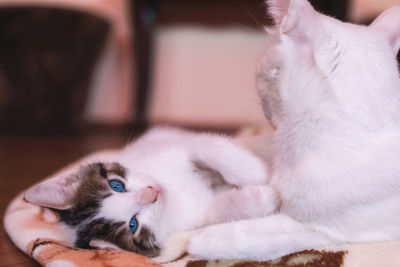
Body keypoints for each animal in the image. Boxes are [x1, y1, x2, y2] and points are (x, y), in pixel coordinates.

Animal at [23, 129, 276, 258]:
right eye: (133, 224)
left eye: (116, 185)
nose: (152, 193)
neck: (174, 190)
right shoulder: (196, 215)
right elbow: (216, 210)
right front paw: (260, 198)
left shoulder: (176, 147)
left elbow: (209, 148)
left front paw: (257, 171)